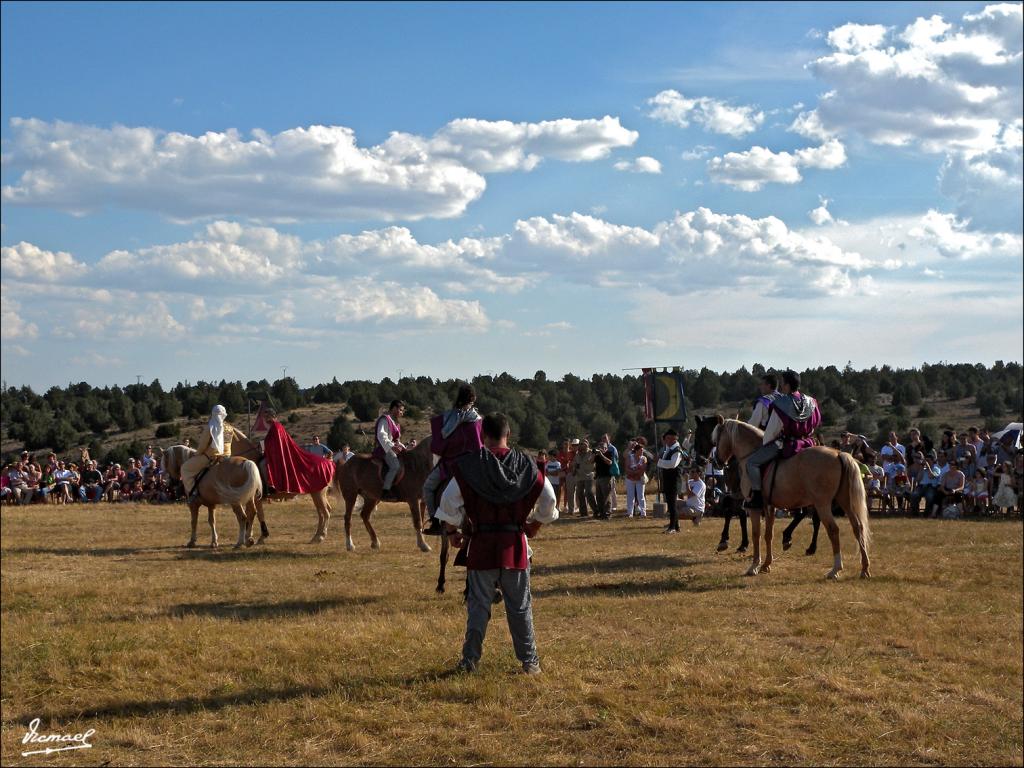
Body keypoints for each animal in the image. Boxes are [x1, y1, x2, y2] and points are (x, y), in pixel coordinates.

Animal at [692, 415, 749, 552]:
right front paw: (724, 540)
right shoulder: (734, 489)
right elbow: (730, 510)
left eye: (697, 435)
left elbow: (741, 511)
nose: (699, 460)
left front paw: (744, 543)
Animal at [712, 417, 872, 581]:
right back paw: (864, 568)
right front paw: (766, 565)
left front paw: (754, 566)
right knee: (858, 527)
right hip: (845, 502)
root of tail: (839, 454)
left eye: (717, 439)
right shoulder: (770, 507)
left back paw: (835, 569)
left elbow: (756, 534)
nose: (715, 461)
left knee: (833, 530)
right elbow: (768, 534)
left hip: (822, 504)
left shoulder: (754, 507)